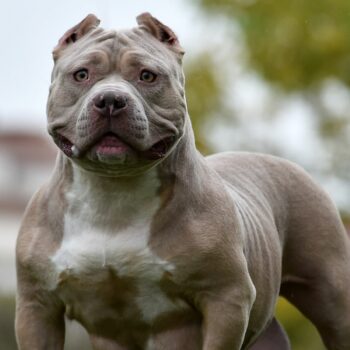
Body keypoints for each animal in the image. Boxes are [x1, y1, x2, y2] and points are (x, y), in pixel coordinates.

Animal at [15, 12, 350, 348]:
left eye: (148, 76)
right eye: (81, 74)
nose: (110, 99)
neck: (113, 191)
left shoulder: (225, 298)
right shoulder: (37, 308)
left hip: (333, 297)